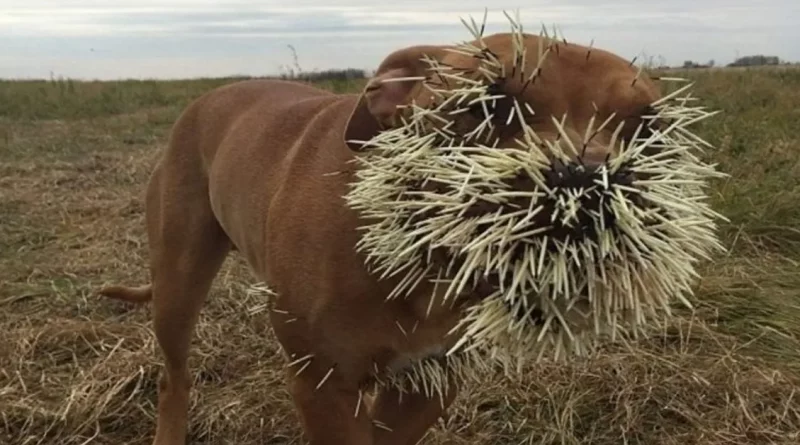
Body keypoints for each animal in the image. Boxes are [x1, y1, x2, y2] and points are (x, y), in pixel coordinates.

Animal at [100, 31, 664, 444]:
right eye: (487, 107)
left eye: (649, 129)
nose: (588, 180)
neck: (421, 259)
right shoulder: (323, 384)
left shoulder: (431, 381)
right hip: (178, 283)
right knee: (174, 378)